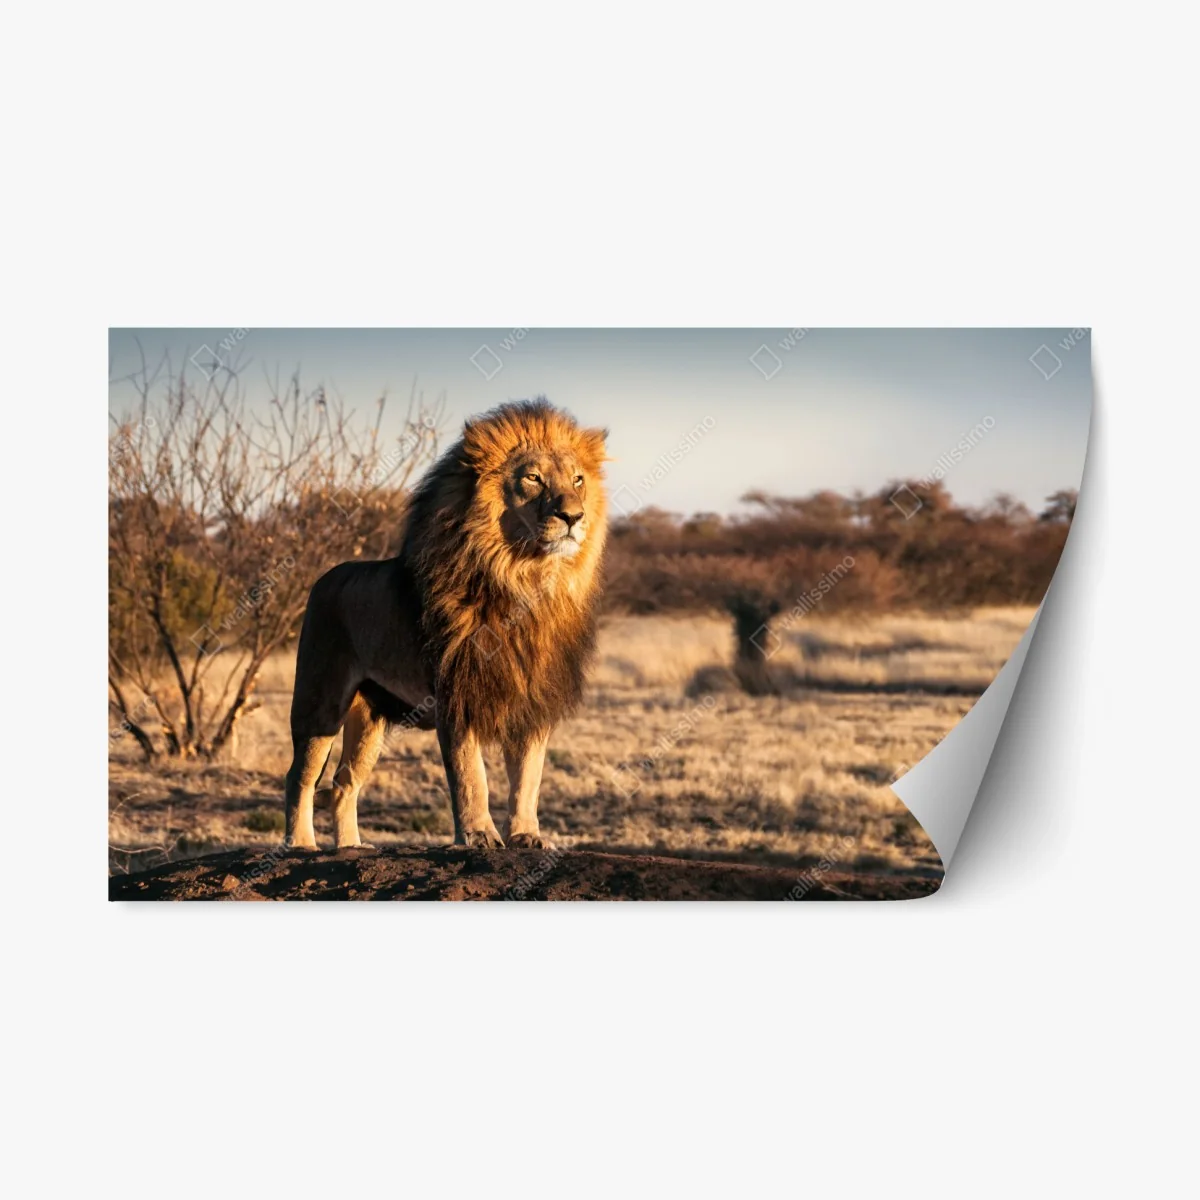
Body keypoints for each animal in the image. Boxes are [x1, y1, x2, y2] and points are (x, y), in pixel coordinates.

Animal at [284, 398, 609, 851]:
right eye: (533, 478)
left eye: (578, 480)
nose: (573, 516)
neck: (524, 580)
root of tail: (324, 577)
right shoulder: (457, 693)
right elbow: (472, 775)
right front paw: (478, 835)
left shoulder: (532, 699)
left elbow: (528, 777)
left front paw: (527, 835)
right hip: (320, 702)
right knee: (300, 776)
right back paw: (300, 844)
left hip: (370, 718)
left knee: (344, 782)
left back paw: (351, 847)